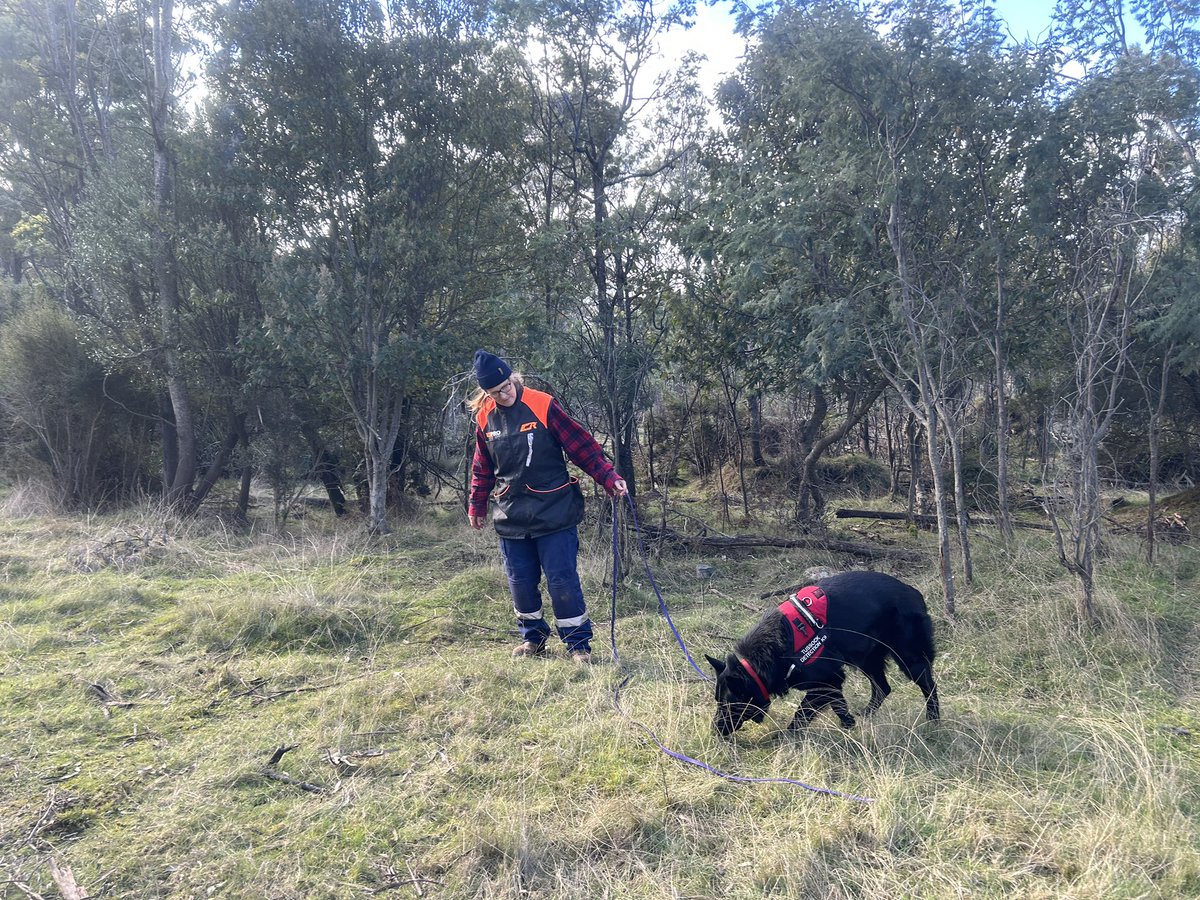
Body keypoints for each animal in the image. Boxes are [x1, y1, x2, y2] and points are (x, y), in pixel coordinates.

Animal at [705, 573, 940, 734]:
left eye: (728, 704)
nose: (715, 730)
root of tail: (914, 593)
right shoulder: (831, 682)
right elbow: (839, 706)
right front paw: (849, 726)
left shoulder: (825, 682)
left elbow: (801, 714)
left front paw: (784, 737)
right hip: (867, 658)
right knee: (883, 688)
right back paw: (867, 715)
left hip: (908, 658)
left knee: (929, 686)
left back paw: (934, 721)